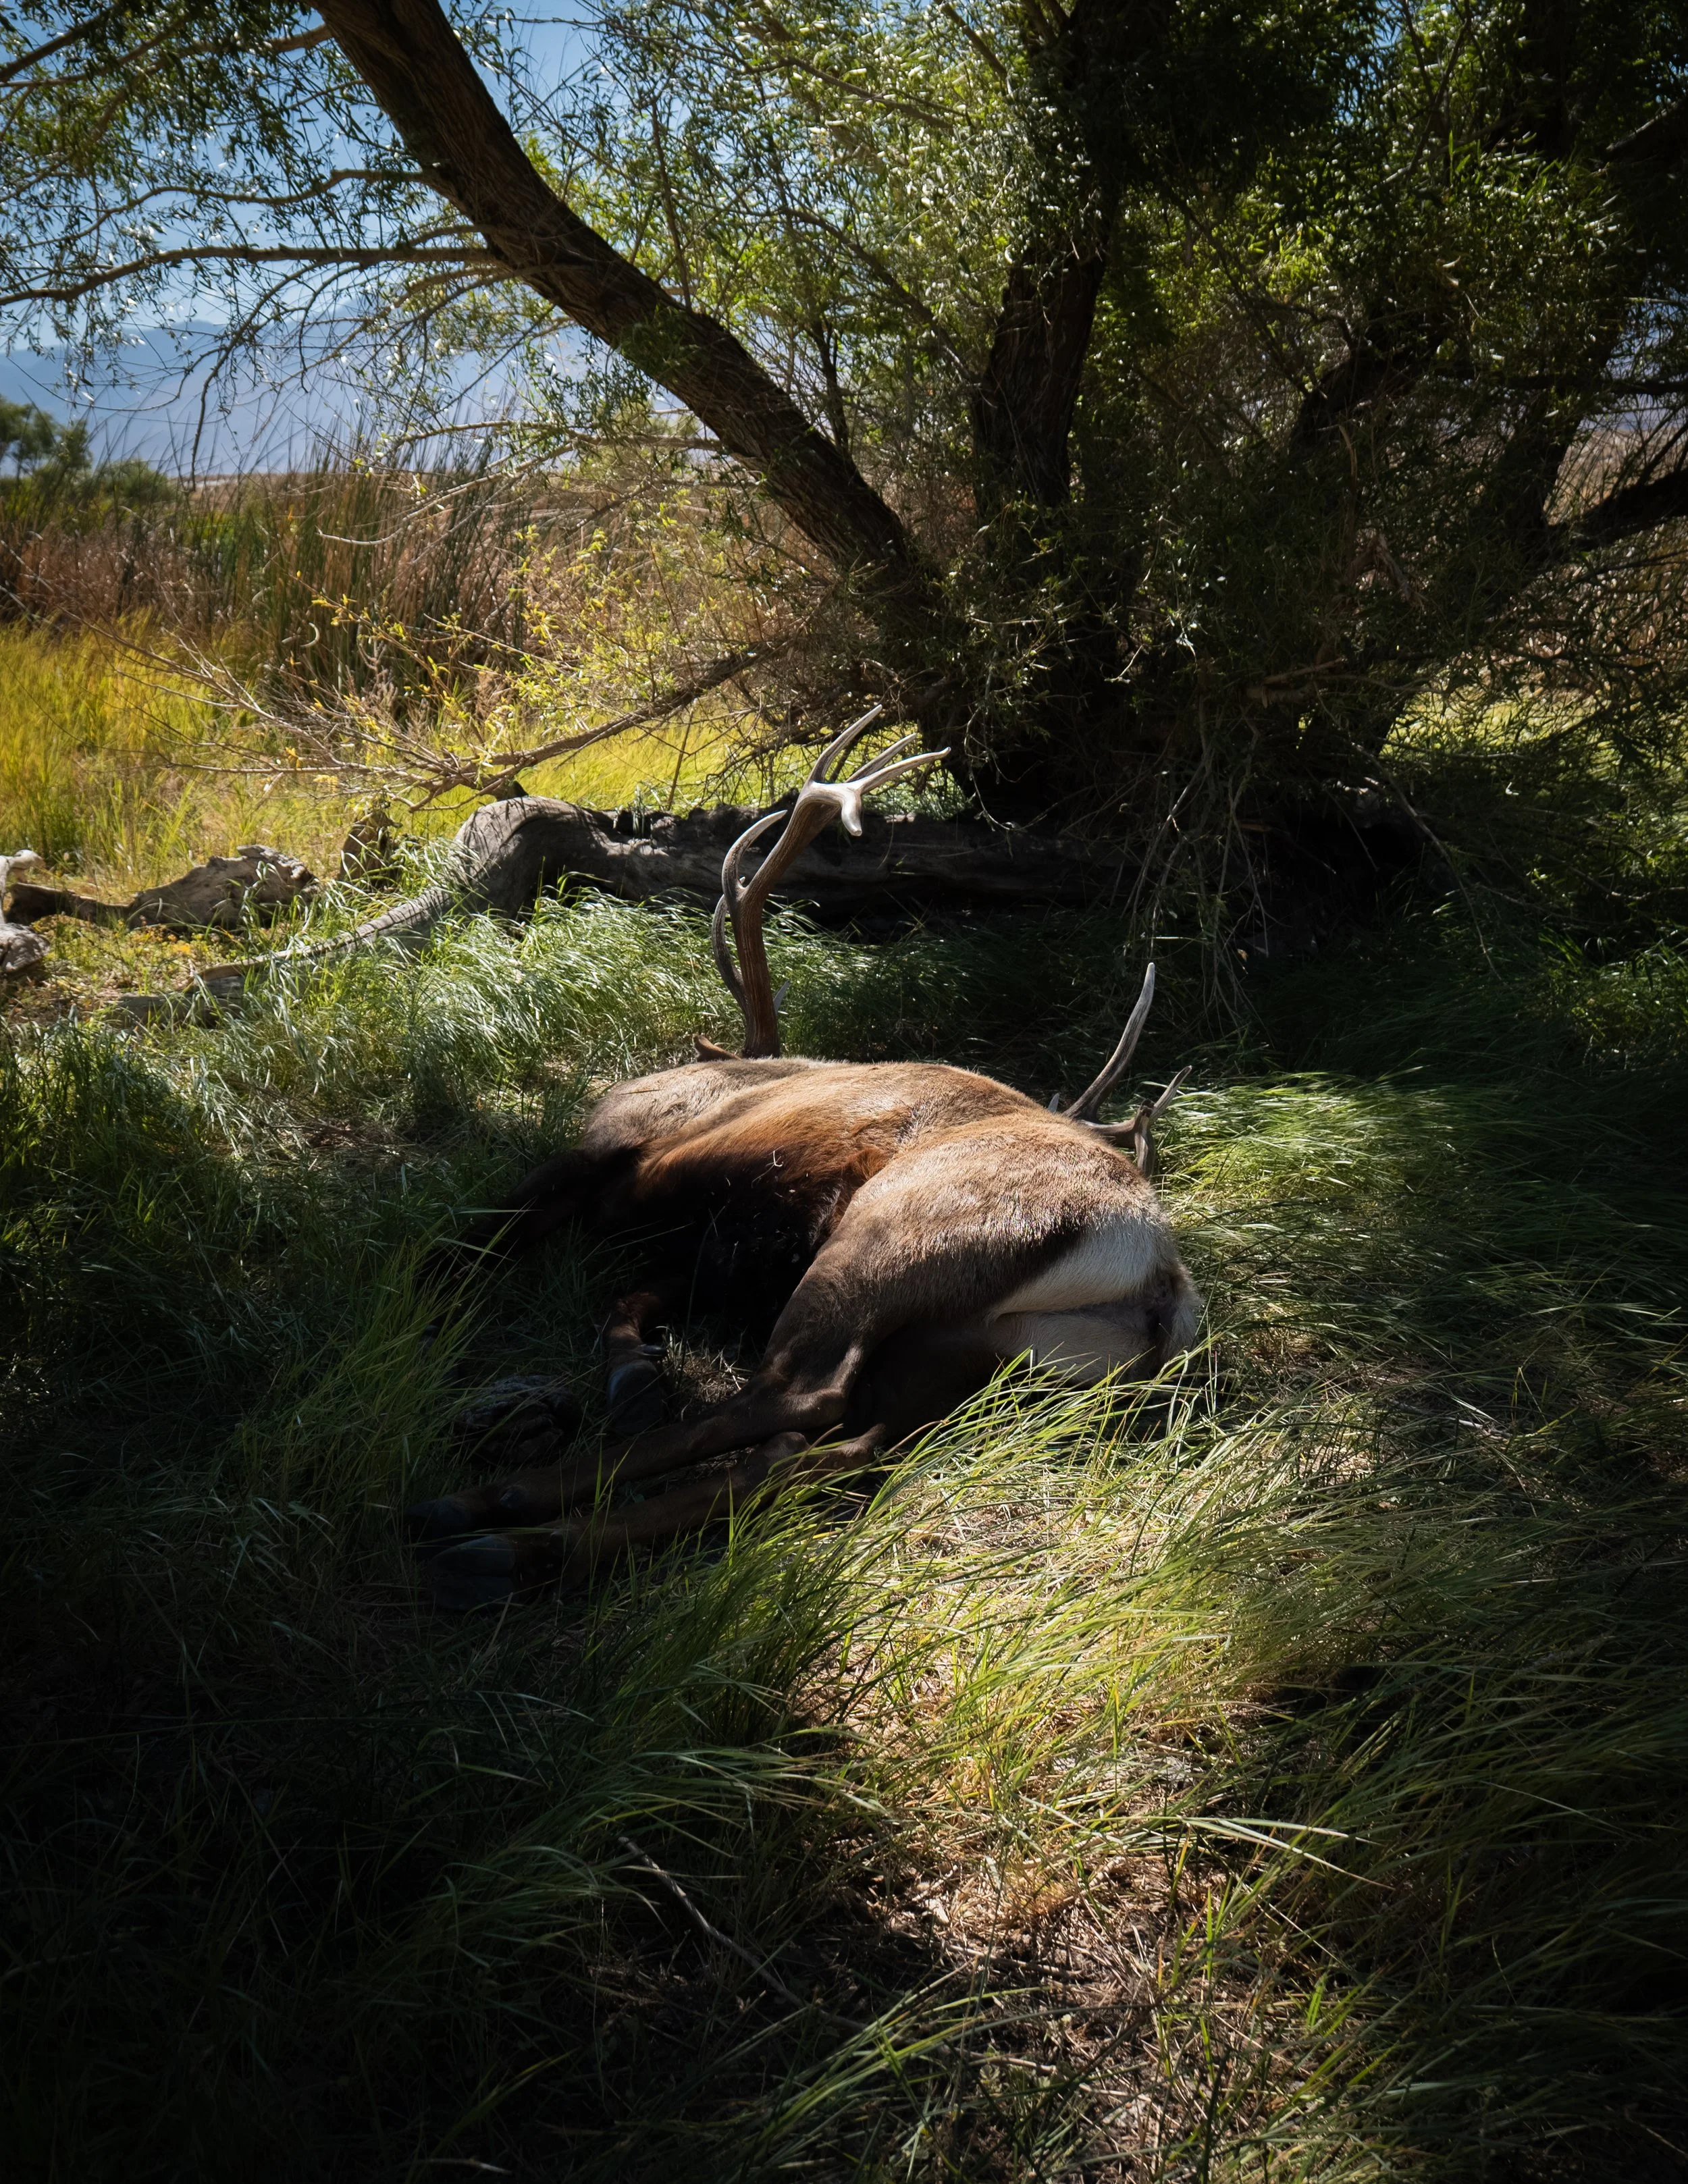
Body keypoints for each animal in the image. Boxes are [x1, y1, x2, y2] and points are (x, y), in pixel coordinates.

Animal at [411, 712, 1201, 1609]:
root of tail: (1161, 1293)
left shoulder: (627, 1150)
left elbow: (476, 1237)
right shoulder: (734, 1250)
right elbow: (636, 1291)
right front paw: (635, 1376)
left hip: (887, 1243)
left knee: (790, 1399)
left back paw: (488, 1509)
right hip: (972, 1356)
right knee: (829, 1450)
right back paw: (516, 1546)